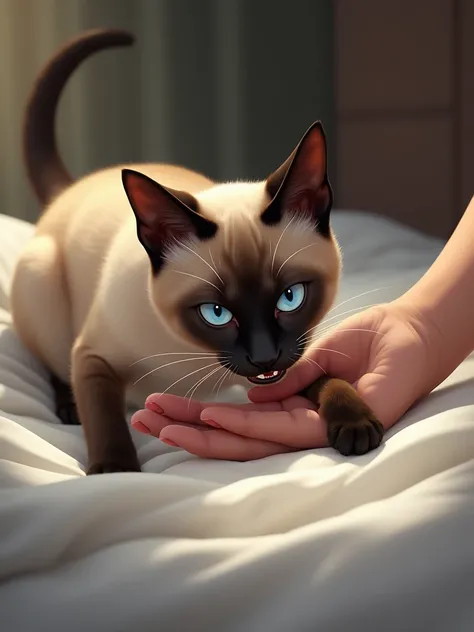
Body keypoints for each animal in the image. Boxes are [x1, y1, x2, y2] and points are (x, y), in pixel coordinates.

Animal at [9, 29, 384, 474]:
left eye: (290, 298)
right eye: (215, 313)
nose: (264, 357)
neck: (198, 358)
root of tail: (73, 186)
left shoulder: (293, 361)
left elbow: (326, 377)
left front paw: (356, 426)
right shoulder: (92, 357)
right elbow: (103, 416)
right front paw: (116, 470)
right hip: (42, 282)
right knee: (55, 365)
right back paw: (68, 408)